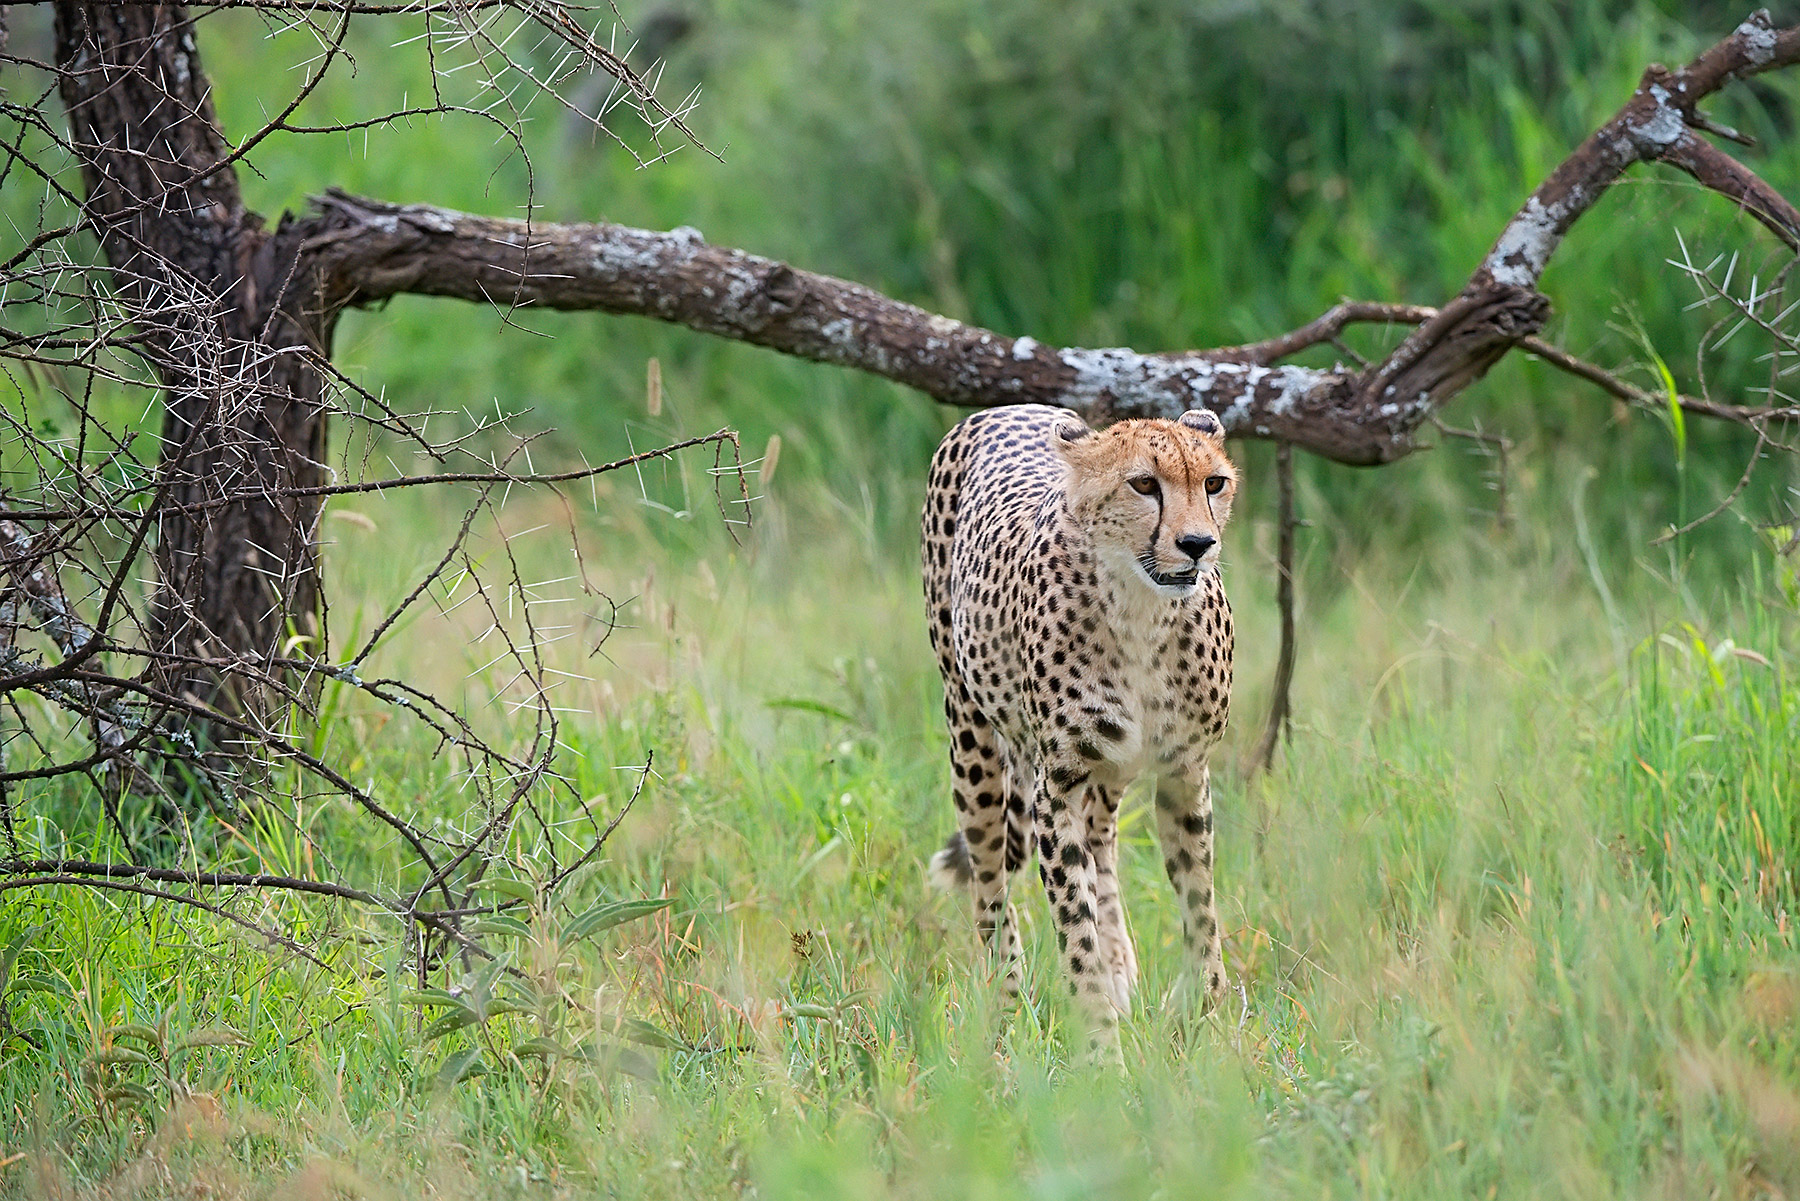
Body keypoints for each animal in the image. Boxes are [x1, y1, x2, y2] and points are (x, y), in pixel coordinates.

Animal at [921, 402, 1238, 1060]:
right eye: (1143, 484)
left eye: (1214, 483)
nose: (1198, 544)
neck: (1142, 610)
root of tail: (1009, 406)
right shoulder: (1057, 785)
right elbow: (1074, 925)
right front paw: (1102, 1054)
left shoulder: (1184, 771)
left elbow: (1200, 905)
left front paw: (1207, 1019)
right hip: (971, 737)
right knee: (991, 889)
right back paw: (1003, 1011)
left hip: (1108, 772)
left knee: (1103, 843)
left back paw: (1122, 970)